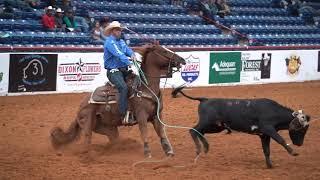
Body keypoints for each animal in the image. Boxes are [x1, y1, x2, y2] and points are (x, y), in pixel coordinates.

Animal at [49, 44, 185, 158]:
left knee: (114, 139)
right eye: (164, 51)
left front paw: (169, 151)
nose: (182, 59)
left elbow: (162, 133)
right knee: (87, 141)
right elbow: (144, 132)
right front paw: (147, 153)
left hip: (108, 129)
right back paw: (88, 156)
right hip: (87, 124)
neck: (146, 87)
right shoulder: (141, 116)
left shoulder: (157, 116)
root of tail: (80, 107)